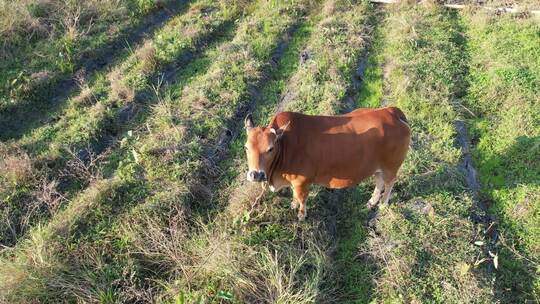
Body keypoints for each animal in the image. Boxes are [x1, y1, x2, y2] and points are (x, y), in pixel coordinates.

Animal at [245, 107, 410, 221]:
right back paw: (372, 202)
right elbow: (294, 195)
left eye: (270, 148)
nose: (256, 175)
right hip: (378, 168)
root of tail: (392, 112)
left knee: (389, 184)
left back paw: (382, 204)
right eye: (246, 147)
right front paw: (293, 205)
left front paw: (301, 215)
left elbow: (301, 198)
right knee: (379, 181)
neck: (285, 144)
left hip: (391, 167)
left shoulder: (302, 182)